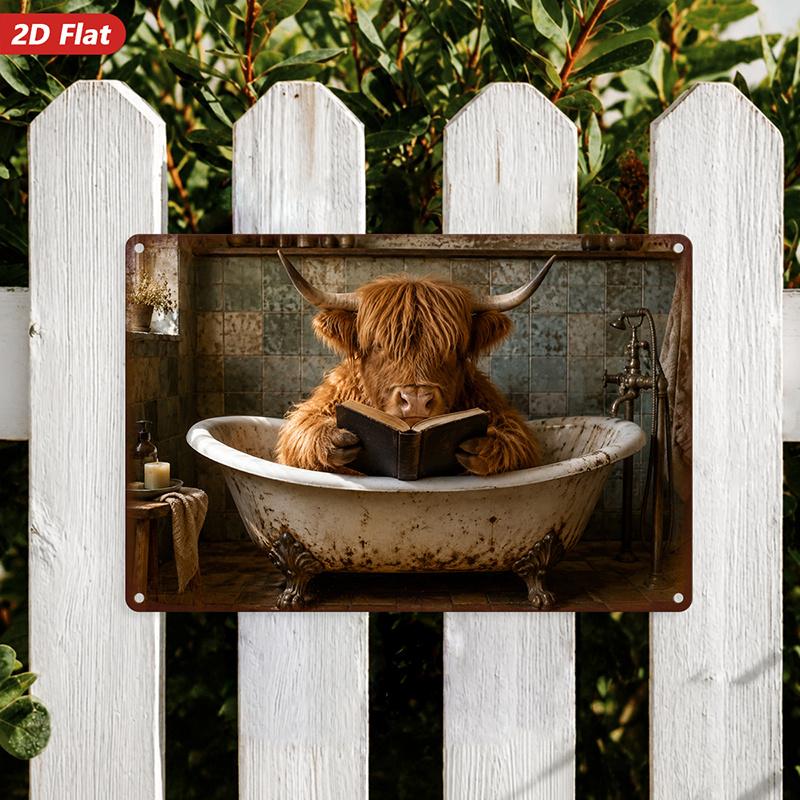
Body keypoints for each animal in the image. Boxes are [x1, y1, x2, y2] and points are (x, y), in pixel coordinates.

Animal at [274, 251, 557, 477]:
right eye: (378, 345)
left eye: (453, 348)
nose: (417, 399)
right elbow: (299, 430)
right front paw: (334, 438)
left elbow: (518, 441)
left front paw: (485, 446)